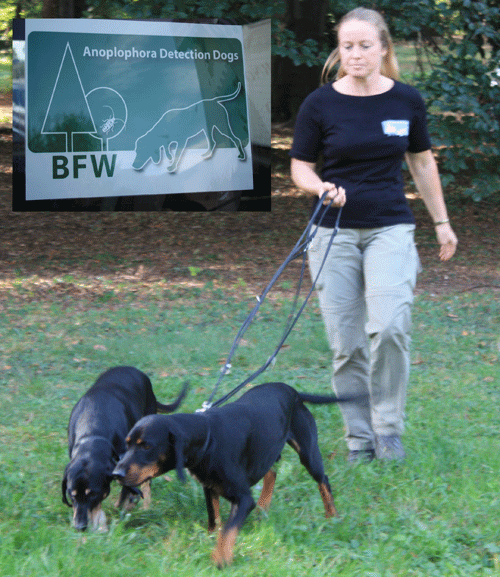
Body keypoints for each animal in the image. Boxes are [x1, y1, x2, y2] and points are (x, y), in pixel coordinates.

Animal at [112, 380, 358, 564]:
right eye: (127, 444)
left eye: (146, 446)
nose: (116, 474)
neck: (208, 438)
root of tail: (291, 390)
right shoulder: (209, 487)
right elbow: (214, 521)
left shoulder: (243, 498)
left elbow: (228, 530)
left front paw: (220, 559)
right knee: (272, 472)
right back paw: (264, 507)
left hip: (308, 452)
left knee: (323, 479)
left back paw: (332, 515)